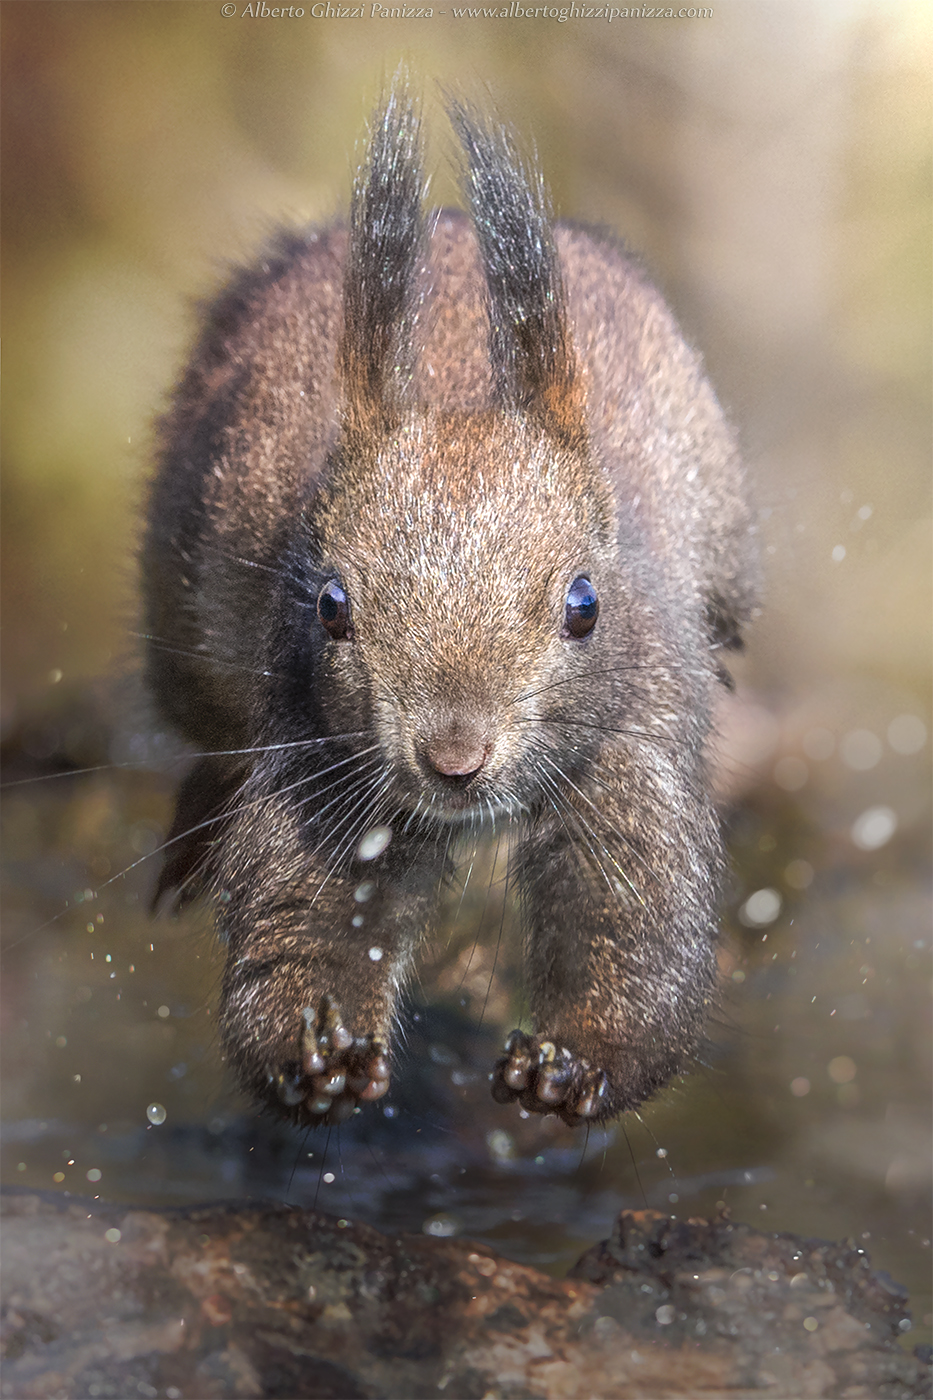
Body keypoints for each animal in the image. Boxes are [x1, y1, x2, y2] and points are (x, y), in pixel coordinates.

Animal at [143, 85, 757, 1130]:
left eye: (584, 606)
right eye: (331, 605)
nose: (453, 758)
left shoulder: (633, 734)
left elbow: (636, 921)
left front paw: (572, 1063)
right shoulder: (317, 753)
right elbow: (304, 913)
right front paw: (315, 1054)